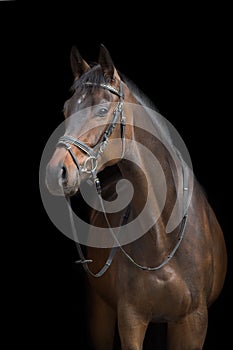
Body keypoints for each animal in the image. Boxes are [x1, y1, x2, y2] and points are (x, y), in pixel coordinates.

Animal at [44, 45, 227, 348]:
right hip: (101, 311)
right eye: (66, 110)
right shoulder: (130, 319)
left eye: (102, 110)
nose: (55, 172)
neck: (163, 238)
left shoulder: (194, 322)